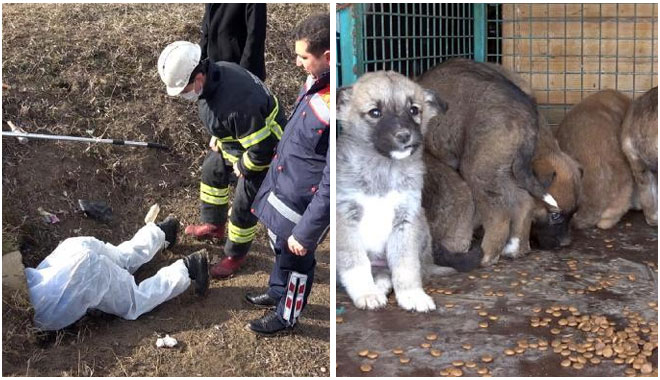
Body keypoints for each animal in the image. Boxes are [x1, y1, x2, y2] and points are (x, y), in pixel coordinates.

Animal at [338, 72, 456, 312]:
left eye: (414, 110)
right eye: (375, 112)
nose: (404, 136)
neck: (383, 170)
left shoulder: (406, 220)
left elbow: (406, 265)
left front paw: (412, 295)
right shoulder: (345, 219)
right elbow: (356, 262)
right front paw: (366, 293)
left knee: (389, 272)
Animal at [418, 60, 556, 268]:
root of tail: (527, 114)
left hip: (478, 169)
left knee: (499, 214)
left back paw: (487, 255)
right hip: (502, 168)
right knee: (523, 201)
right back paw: (516, 248)